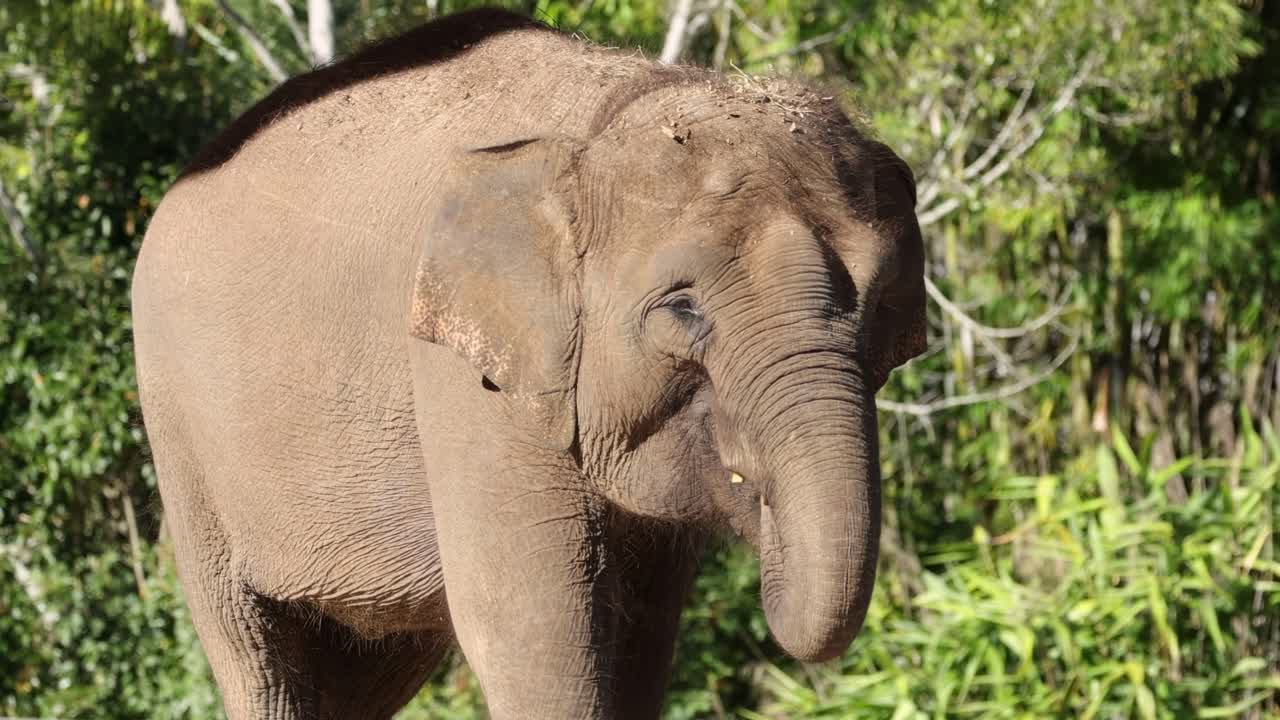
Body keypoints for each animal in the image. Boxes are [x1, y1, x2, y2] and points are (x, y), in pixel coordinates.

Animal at [130, 7, 926, 719]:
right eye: (682, 308)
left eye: (880, 304)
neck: (613, 112)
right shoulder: (461, 374)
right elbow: (534, 636)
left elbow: (639, 642)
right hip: (181, 441)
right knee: (256, 654)